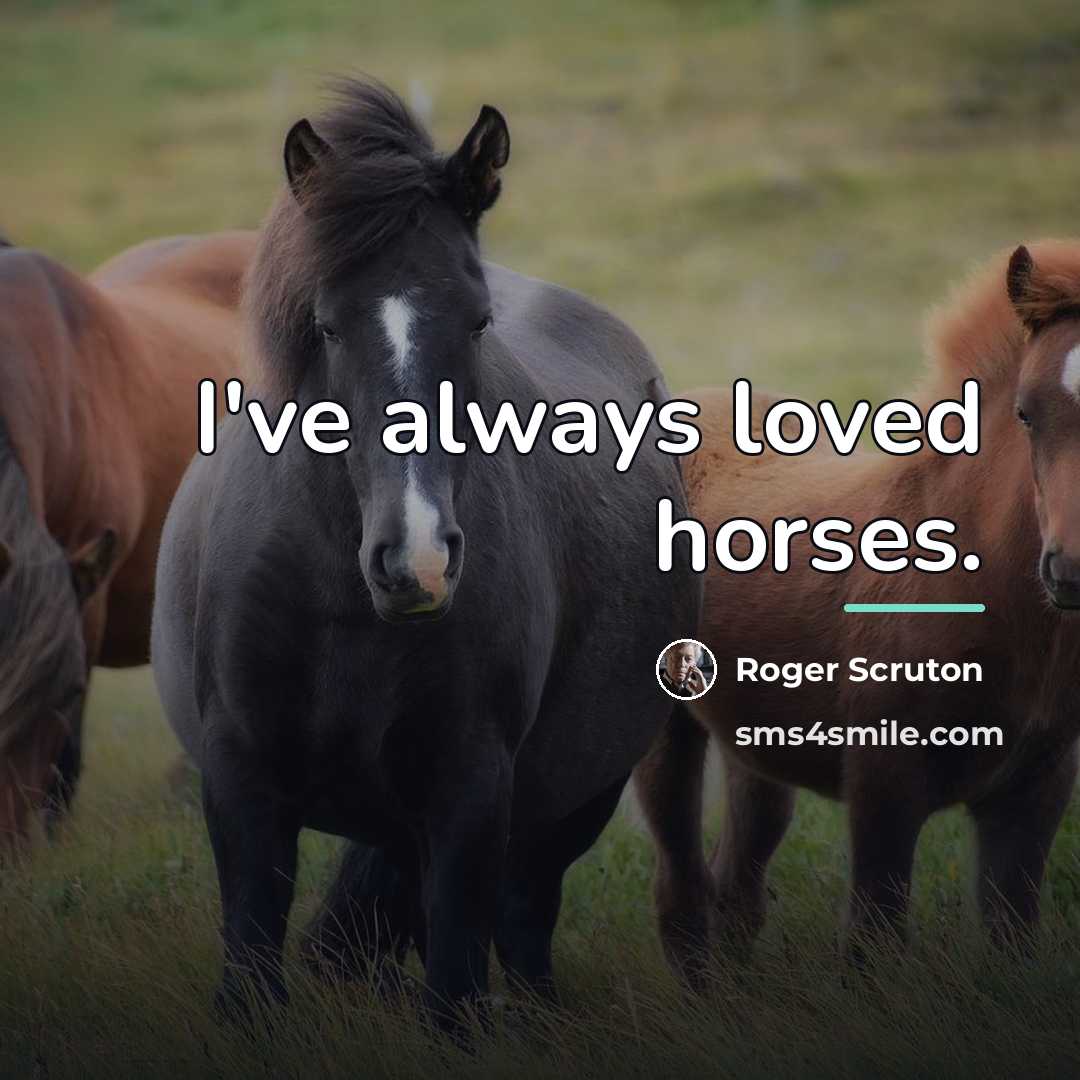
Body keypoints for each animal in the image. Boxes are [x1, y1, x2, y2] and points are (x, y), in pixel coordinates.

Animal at [150, 78, 699, 1028]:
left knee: (523, 924)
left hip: (573, 800)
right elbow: (252, 970)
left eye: (477, 323)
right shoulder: (242, 785)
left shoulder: (469, 793)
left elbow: (455, 991)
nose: (418, 562)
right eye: (328, 327)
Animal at [635, 240, 1080, 982]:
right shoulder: (883, 786)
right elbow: (873, 941)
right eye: (1025, 412)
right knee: (681, 891)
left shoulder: (1033, 792)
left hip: (756, 745)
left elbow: (1008, 940)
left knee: (737, 884)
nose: (1068, 568)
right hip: (666, 729)